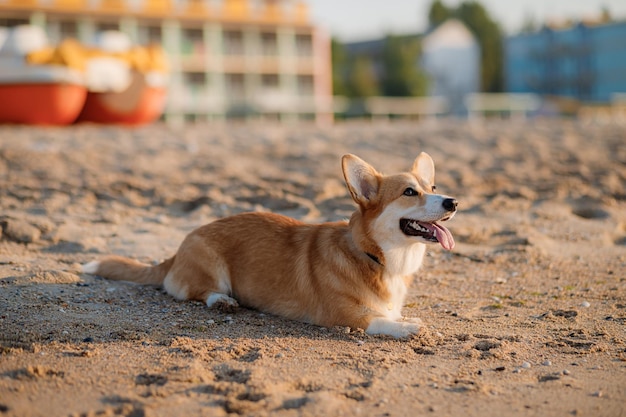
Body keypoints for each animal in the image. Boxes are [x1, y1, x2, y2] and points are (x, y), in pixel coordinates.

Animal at [81, 153, 454, 338]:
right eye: (409, 192)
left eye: (433, 187)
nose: (453, 202)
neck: (374, 255)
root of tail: (175, 252)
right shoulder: (344, 316)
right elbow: (381, 322)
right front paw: (409, 327)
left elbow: (390, 313)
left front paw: (406, 318)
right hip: (211, 265)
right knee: (195, 291)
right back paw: (222, 301)